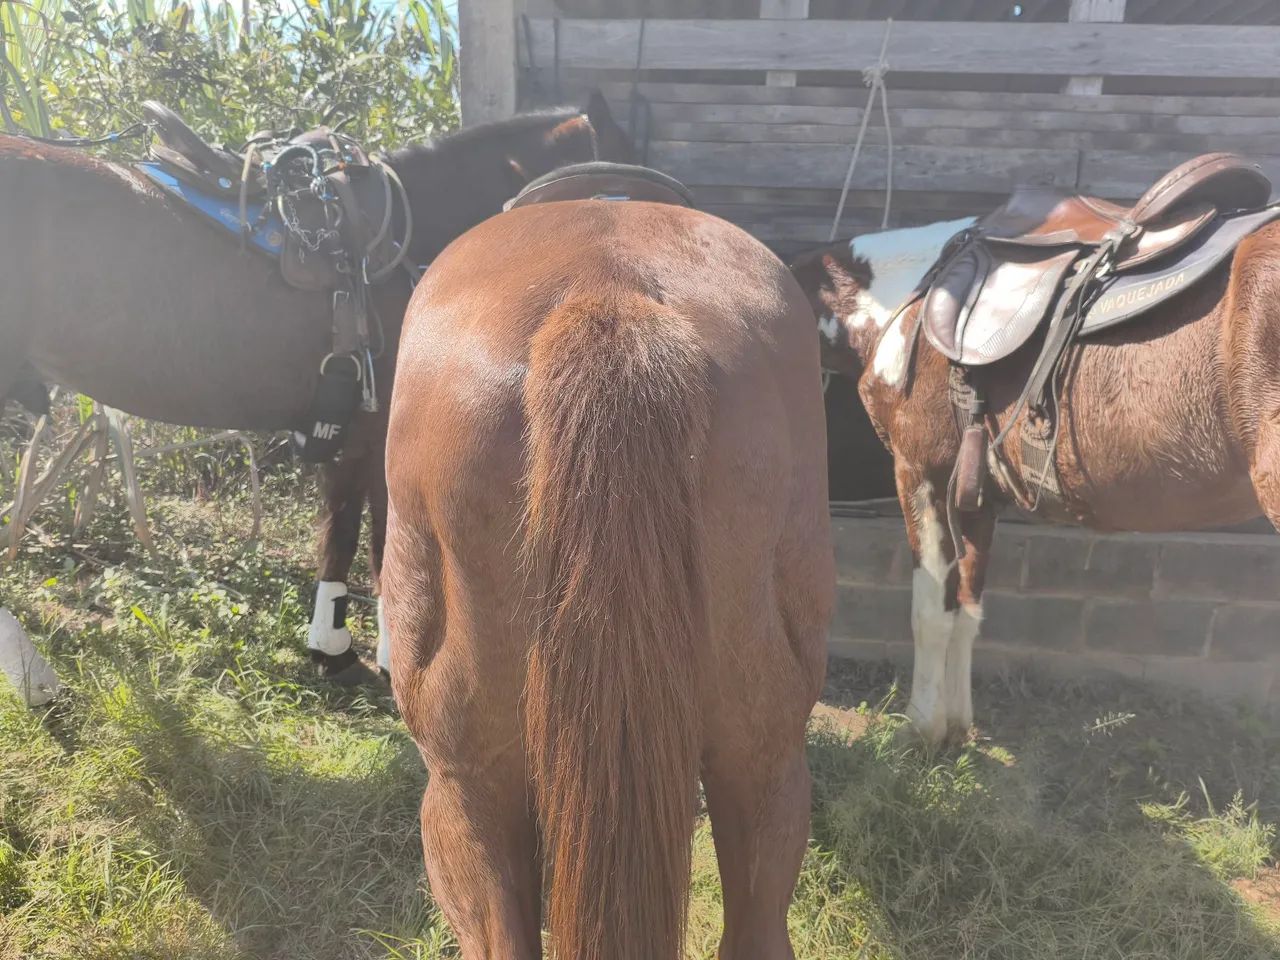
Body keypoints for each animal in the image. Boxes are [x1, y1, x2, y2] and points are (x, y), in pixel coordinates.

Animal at [792, 200, 1280, 746]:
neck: (908, 302)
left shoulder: (921, 475)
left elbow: (930, 611)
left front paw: (921, 728)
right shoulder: (977, 496)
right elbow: (967, 609)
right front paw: (957, 726)